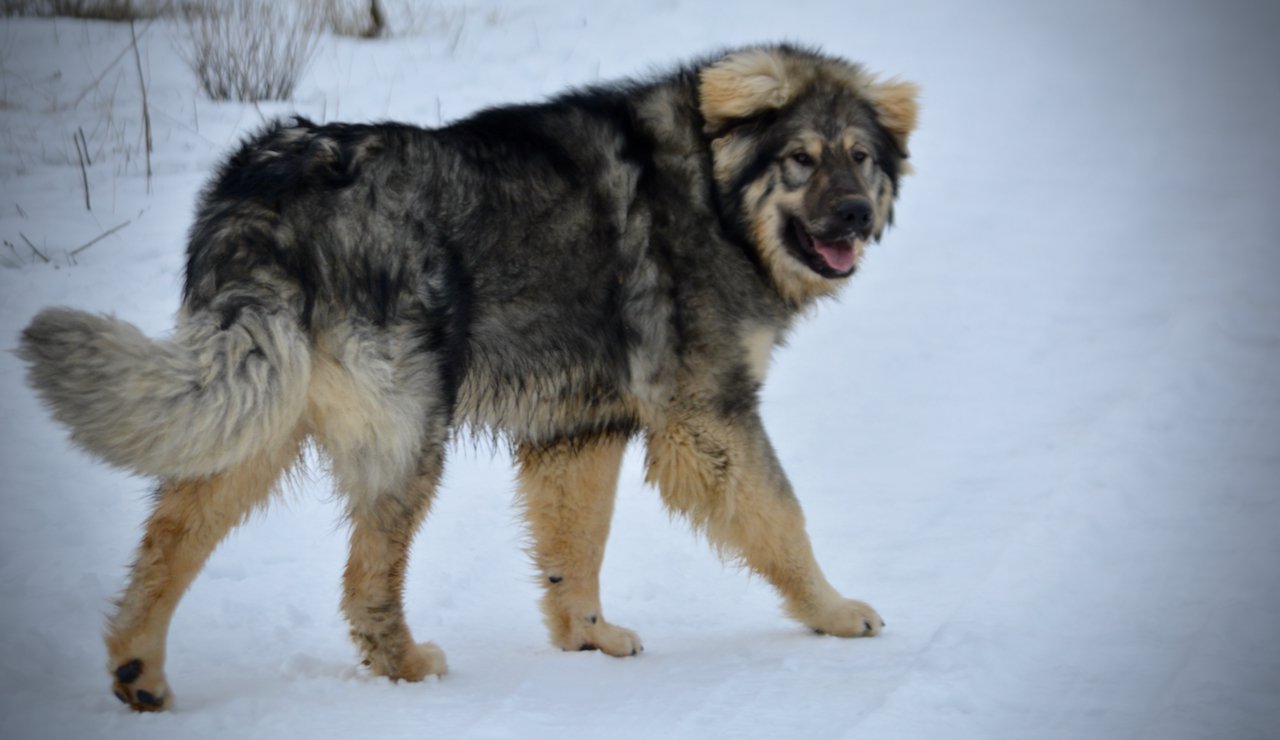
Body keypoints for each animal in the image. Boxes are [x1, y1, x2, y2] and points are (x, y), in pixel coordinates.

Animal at [22, 41, 921, 706]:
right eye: (801, 159)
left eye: (861, 158)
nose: (855, 216)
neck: (713, 191)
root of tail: (270, 187)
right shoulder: (710, 415)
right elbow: (784, 519)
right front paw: (834, 611)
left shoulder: (579, 429)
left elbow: (576, 548)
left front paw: (587, 635)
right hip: (406, 427)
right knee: (364, 577)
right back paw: (404, 663)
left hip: (258, 407)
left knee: (172, 539)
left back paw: (139, 669)